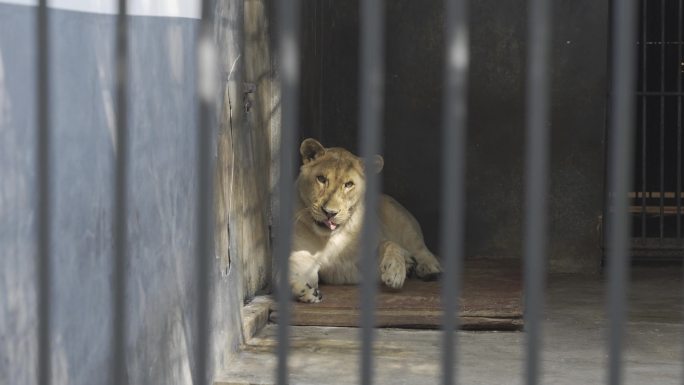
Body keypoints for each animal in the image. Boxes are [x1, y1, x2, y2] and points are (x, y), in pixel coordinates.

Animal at [290, 139, 444, 304]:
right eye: (321, 179)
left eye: (349, 184)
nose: (330, 213)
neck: (331, 239)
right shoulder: (302, 261)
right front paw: (307, 291)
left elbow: (389, 244)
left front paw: (395, 272)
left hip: (401, 220)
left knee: (420, 249)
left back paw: (429, 269)